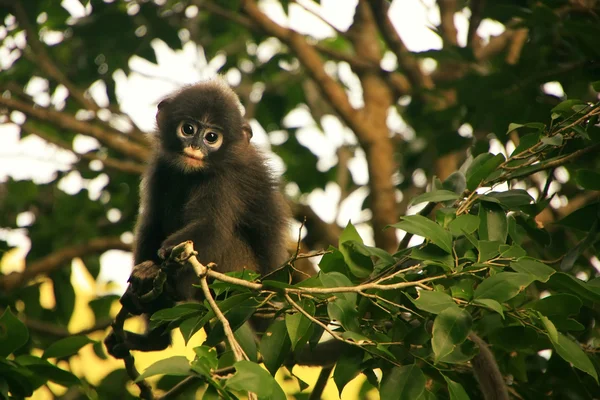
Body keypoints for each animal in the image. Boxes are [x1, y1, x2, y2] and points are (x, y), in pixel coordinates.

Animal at [105, 79, 288, 356]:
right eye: (188, 129)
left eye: (212, 137)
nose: (195, 147)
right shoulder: (160, 166)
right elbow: (151, 223)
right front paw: (144, 280)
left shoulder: (225, 179)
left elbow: (212, 227)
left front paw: (161, 264)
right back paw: (153, 337)